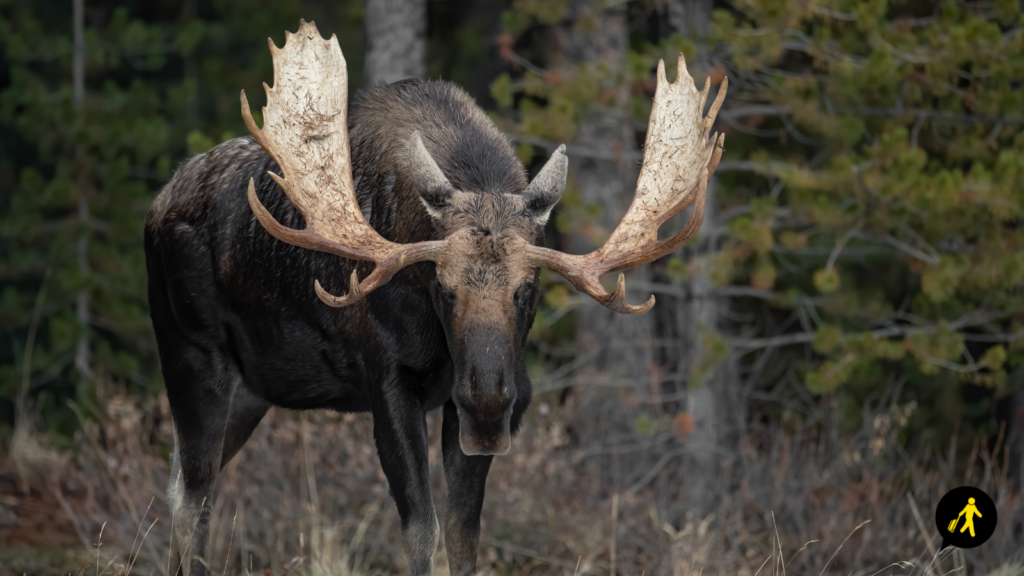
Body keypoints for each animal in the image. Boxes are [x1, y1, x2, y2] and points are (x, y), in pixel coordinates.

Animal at [146, 19, 729, 573]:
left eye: (528, 289)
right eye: (443, 288)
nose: (488, 398)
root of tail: (157, 204)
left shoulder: (479, 406)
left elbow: (463, 534)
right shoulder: (387, 382)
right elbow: (421, 529)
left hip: (252, 392)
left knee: (183, 482)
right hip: (191, 356)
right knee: (192, 495)